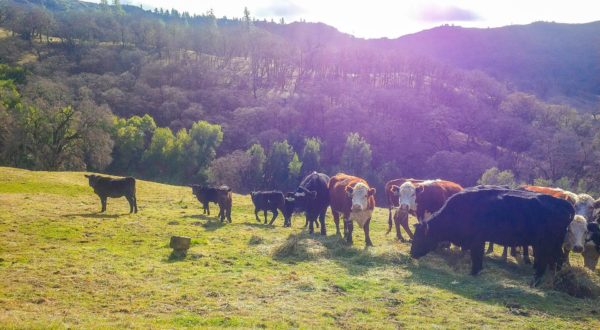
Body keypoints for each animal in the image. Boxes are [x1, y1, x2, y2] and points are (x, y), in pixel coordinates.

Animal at [410, 186, 576, 286]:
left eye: (420, 237)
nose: (412, 254)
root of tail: (563, 203)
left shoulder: (477, 240)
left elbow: (476, 257)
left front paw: (473, 272)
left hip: (545, 244)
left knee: (545, 262)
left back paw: (535, 282)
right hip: (552, 244)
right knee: (557, 260)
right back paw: (553, 281)